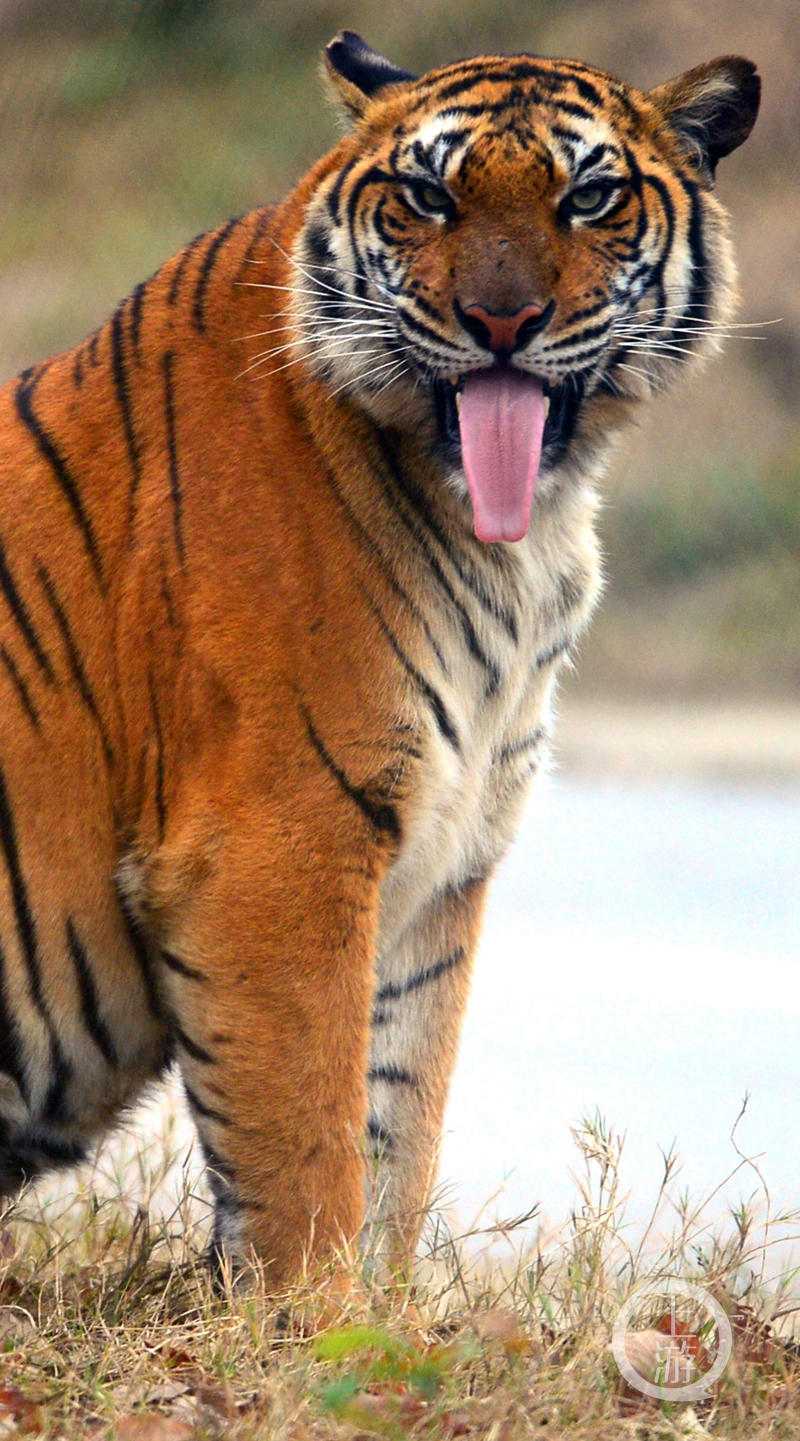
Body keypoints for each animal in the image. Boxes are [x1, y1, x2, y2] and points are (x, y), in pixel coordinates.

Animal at [0, 28, 755, 1279]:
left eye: (588, 197)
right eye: (428, 197)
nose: (501, 320)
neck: (518, 543)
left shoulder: (442, 864)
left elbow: (394, 1128)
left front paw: (380, 1315)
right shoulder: (276, 850)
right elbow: (306, 1159)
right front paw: (314, 1322)